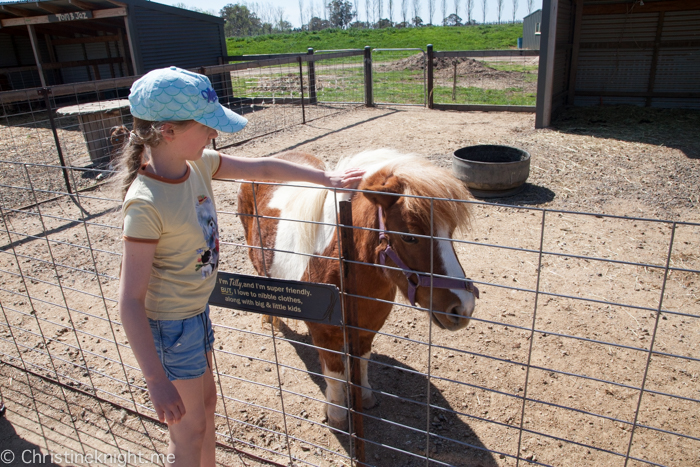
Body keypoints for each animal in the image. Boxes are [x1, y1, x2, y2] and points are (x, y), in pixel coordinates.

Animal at [238, 150, 478, 432]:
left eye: (449, 232)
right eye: (409, 237)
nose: (463, 307)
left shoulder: (368, 327)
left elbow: (362, 361)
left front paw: (364, 396)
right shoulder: (323, 332)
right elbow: (334, 374)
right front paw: (337, 413)